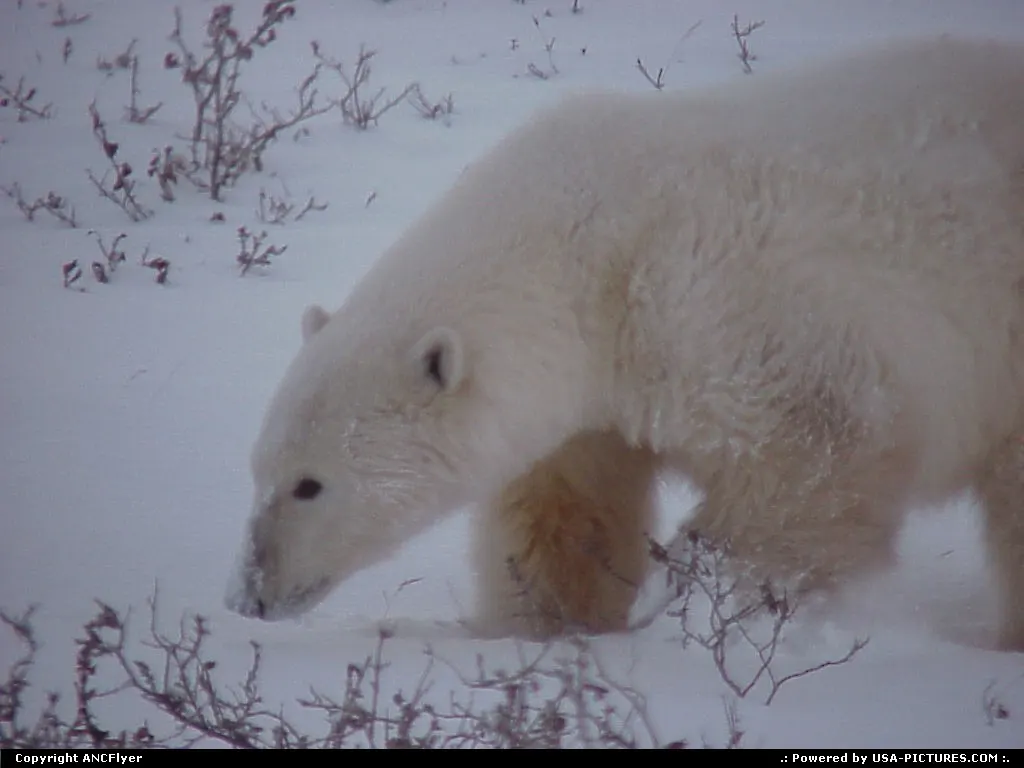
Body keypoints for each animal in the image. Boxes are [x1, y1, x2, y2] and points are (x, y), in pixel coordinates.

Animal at [225, 37, 1024, 650]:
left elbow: (811, 470)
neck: (596, 247)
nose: (248, 597)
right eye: (259, 468)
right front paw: (537, 627)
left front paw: (717, 604)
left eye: (309, 484)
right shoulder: (590, 395)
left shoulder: (739, 316)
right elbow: (566, 514)